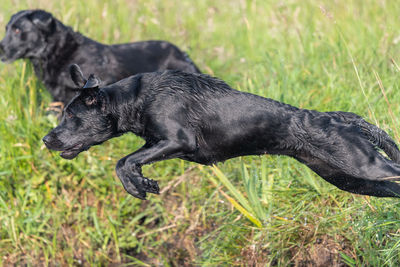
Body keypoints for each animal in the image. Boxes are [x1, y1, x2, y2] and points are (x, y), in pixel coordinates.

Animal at [41, 64, 400, 199]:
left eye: (71, 115)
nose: (46, 139)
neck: (135, 98)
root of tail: (342, 119)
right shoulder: (159, 143)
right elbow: (129, 160)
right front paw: (142, 183)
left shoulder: (178, 140)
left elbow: (124, 161)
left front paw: (139, 186)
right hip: (350, 180)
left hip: (364, 165)